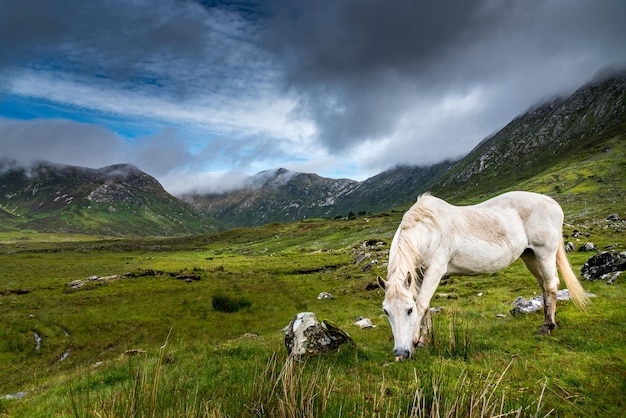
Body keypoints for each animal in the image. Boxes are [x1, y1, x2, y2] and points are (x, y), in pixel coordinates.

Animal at [378, 191, 588, 360]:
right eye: (386, 311)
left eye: (409, 310)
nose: (400, 352)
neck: (429, 229)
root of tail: (552, 202)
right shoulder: (419, 274)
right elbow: (426, 305)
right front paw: (424, 340)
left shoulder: (435, 270)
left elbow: (421, 304)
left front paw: (416, 341)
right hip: (529, 255)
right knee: (544, 284)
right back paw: (551, 320)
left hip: (545, 252)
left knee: (551, 284)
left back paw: (546, 327)